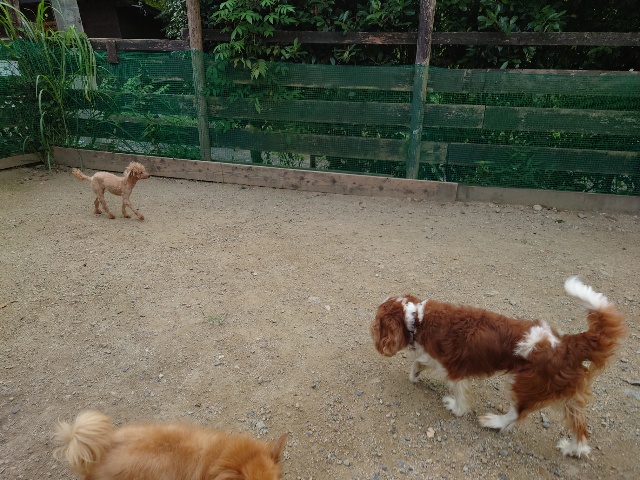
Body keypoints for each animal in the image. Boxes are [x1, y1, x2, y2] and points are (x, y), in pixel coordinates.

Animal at [370, 277, 626, 458]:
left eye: (378, 320)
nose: (371, 330)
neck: (418, 318)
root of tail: (566, 342)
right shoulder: (436, 358)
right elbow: (420, 362)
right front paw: (415, 375)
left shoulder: (454, 367)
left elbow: (459, 393)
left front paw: (456, 408)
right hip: (564, 391)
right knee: (581, 431)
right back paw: (573, 450)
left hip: (524, 381)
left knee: (517, 413)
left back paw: (494, 422)